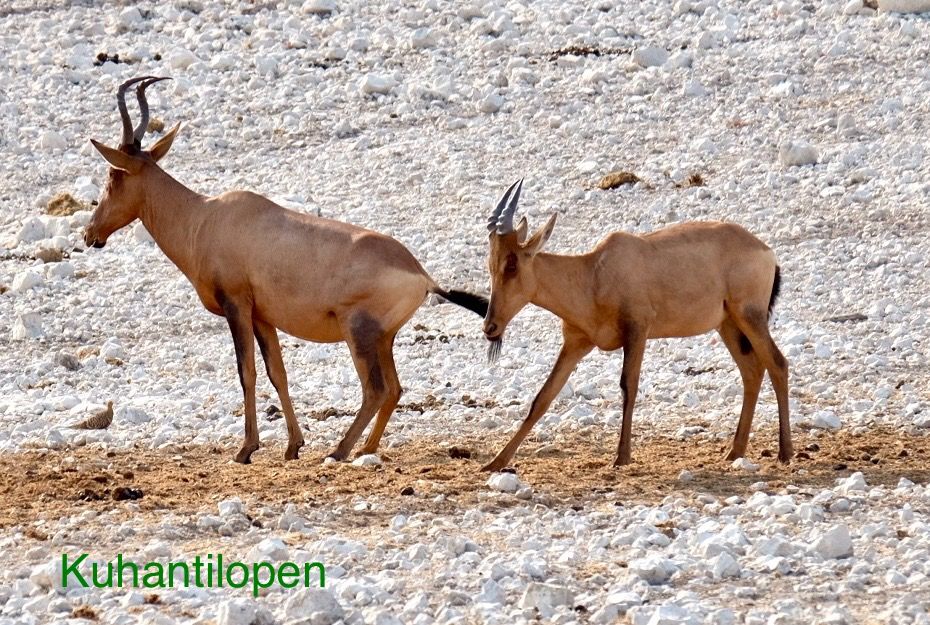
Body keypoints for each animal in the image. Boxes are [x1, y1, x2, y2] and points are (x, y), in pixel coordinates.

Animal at [84, 75, 490, 460]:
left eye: (113, 175)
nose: (91, 234)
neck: (207, 216)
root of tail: (422, 274)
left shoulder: (237, 306)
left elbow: (246, 373)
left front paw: (246, 449)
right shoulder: (263, 315)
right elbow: (277, 373)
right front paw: (293, 445)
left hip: (357, 331)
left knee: (376, 389)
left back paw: (339, 451)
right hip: (383, 337)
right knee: (394, 389)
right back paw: (366, 449)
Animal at [478, 178, 792, 470]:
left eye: (512, 264)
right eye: (490, 264)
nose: (490, 327)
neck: (593, 272)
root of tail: (765, 251)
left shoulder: (638, 330)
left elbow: (628, 385)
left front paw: (621, 457)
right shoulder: (575, 344)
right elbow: (542, 397)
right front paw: (495, 462)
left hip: (750, 316)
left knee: (777, 363)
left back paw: (784, 452)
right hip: (727, 324)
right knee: (752, 370)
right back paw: (734, 451)